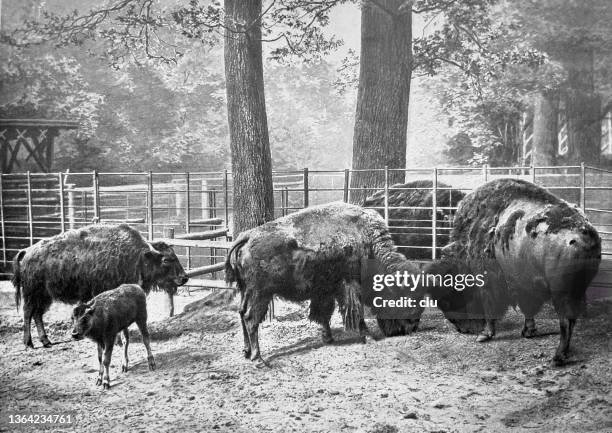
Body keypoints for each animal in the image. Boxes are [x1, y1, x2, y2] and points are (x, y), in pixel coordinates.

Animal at [12, 223, 189, 348]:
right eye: (166, 260)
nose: (184, 278)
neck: (139, 257)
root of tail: (26, 252)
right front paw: (117, 340)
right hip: (33, 294)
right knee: (28, 313)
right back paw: (29, 343)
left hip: (44, 296)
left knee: (37, 315)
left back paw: (46, 341)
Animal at [225, 202, 426, 362]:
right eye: (406, 301)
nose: (410, 328)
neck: (367, 241)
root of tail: (247, 236)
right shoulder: (351, 286)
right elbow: (356, 313)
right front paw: (368, 336)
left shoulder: (326, 290)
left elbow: (323, 314)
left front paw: (328, 338)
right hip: (260, 293)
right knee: (250, 317)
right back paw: (258, 358)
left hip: (246, 290)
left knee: (241, 312)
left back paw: (246, 351)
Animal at [428, 179, 600, 364]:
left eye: (447, 299)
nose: (462, 329)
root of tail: (586, 234)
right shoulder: (523, 284)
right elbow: (528, 309)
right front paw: (528, 331)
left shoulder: (489, 283)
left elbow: (491, 308)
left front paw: (484, 335)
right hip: (576, 291)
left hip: (561, 294)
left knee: (566, 320)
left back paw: (558, 356)